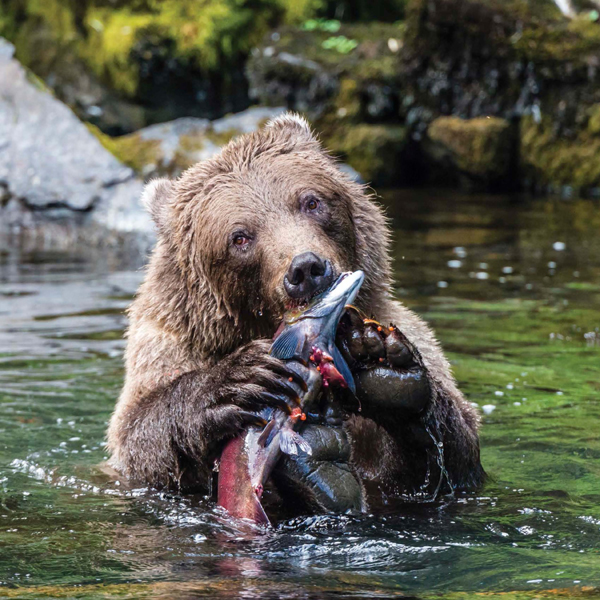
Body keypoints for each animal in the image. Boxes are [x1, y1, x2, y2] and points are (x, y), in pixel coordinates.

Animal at [106, 112, 482, 510]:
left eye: (311, 202)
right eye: (239, 236)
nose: (305, 268)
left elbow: (452, 455)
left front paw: (384, 367)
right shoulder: (169, 347)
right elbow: (139, 435)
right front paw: (241, 381)